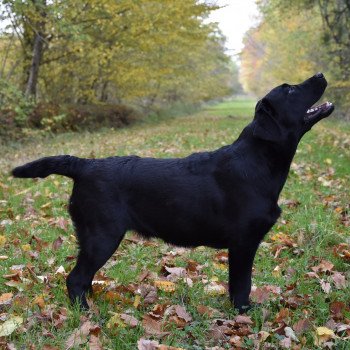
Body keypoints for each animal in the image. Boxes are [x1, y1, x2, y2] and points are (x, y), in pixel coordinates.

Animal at [11, 72, 334, 314]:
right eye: (290, 90)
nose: (319, 74)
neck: (258, 162)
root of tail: (84, 164)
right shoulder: (243, 243)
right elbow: (242, 284)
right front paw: (244, 313)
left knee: (84, 278)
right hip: (101, 235)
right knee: (75, 279)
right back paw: (86, 313)